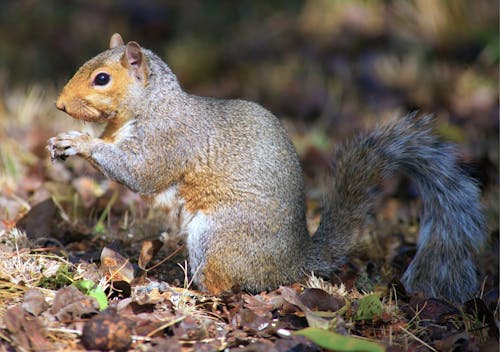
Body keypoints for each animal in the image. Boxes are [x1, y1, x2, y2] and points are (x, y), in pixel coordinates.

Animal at [47, 33, 484, 302]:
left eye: (102, 79)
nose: (59, 105)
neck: (147, 106)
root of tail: (291, 264)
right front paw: (66, 140)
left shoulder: (170, 139)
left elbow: (141, 172)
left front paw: (79, 142)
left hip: (218, 237)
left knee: (223, 287)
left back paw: (182, 292)